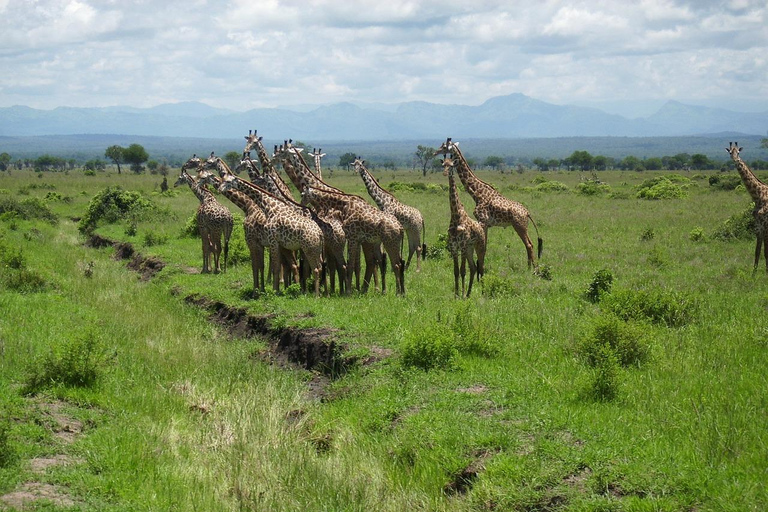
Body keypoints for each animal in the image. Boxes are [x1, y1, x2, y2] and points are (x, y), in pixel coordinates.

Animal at [210, 158, 328, 298]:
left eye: (228, 182)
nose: (220, 189)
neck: (268, 207)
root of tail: (320, 233)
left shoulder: (268, 241)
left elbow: (270, 266)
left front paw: (272, 291)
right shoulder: (274, 243)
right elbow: (268, 266)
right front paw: (268, 289)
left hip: (309, 248)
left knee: (314, 268)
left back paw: (315, 295)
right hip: (315, 249)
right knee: (319, 266)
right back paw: (319, 292)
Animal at [436, 138, 544, 270]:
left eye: (443, 147)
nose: (435, 152)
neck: (477, 193)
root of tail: (527, 213)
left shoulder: (483, 221)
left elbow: (484, 247)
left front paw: (482, 267)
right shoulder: (485, 223)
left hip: (519, 225)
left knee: (528, 244)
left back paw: (532, 269)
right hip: (523, 226)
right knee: (531, 243)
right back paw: (530, 267)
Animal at [440, 158, 484, 298]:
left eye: (452, 166)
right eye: (443, 165)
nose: (445, 173)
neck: (456, 216)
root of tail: (481, 227)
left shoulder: (463, 246)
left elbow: (462, 270)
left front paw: (462, 295)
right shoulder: (454, 247)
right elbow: (455, 271)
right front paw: (457, 294)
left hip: (479, 246)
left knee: (481, 267)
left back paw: (483, 292)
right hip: (470, 248)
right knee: (474, 268)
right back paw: (469, 293)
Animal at [728, 142, 768, 270]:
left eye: (738, 152)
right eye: (730, 152)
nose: (736, 160)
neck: (758, 196)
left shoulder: (765, 225)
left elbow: (765, 252)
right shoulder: (758, 226)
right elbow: (757, 252)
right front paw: (753, 273)